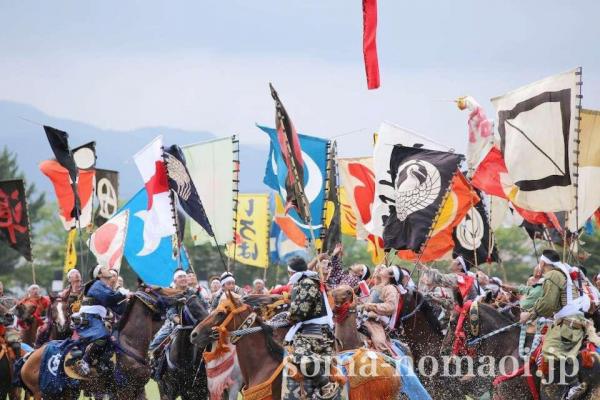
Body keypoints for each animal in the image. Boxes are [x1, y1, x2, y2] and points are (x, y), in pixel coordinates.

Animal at [18, 286, 182, 398]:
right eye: (158, 288)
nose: (182, 293)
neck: (130, 345)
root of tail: (29, 358)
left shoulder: (138, 390)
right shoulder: (125, 391)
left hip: (65, 392)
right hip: (42, 394)